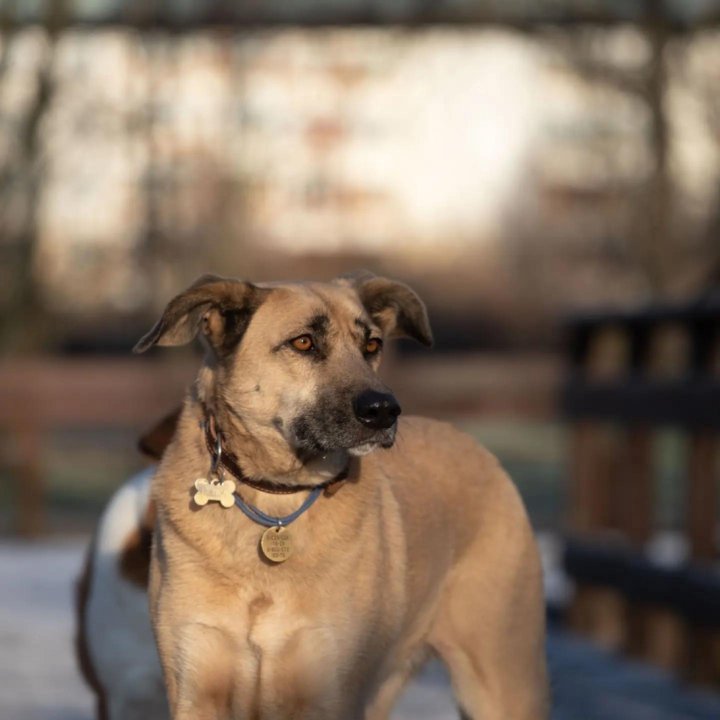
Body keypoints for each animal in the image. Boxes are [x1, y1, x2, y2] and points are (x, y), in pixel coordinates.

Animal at [76, 272, 548, 716]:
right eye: (303, 342)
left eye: (372, 344)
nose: (385, 411)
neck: (274, 501)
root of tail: (474, 444)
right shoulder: (197, 686)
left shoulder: (326, 689)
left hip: (501, 676)